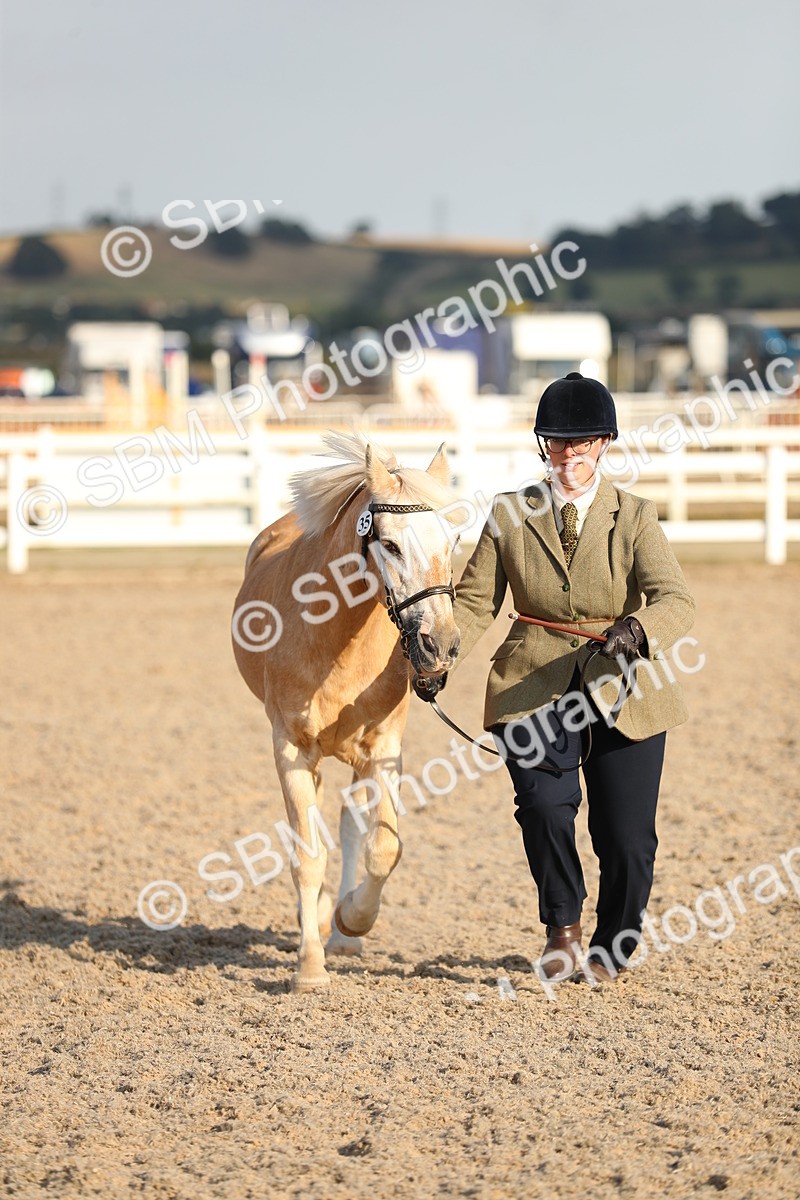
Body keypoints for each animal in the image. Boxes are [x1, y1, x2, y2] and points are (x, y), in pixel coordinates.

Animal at [232, 431, 462, 992]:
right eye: (392, 545)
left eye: (451, 543)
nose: (441, 645)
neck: (334, 637)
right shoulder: (291, 750)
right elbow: (306, 854)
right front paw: (310, 969)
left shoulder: (384, 750)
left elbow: (384, 848)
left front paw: (352, 920)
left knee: (349, 823)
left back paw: (340, 932)